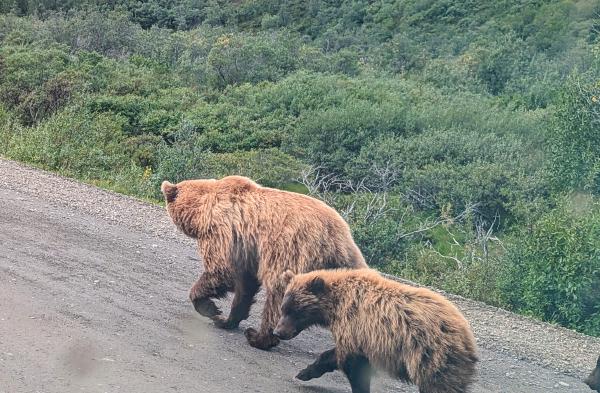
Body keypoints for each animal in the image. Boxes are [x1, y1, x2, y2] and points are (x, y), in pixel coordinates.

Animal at [161, 176, 366, 348]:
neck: (203, 210)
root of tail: (335, 236)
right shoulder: (247, 251)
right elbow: (245, 286)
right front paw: (227, 320)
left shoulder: (223, 232)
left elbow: (220, 271)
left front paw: (210, 309)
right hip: (345, 262)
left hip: (292, 251)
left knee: (278, 295)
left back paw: (259, 337)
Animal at [276, 268, 478, 392]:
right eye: (283, 308)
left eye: (296, 312)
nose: (277, 332)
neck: (335, 306)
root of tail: (467, 336)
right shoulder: (360, 336)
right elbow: (335, 356)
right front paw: (304, 372)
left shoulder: (354, 324)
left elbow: (351, 363)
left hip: (433, 356)